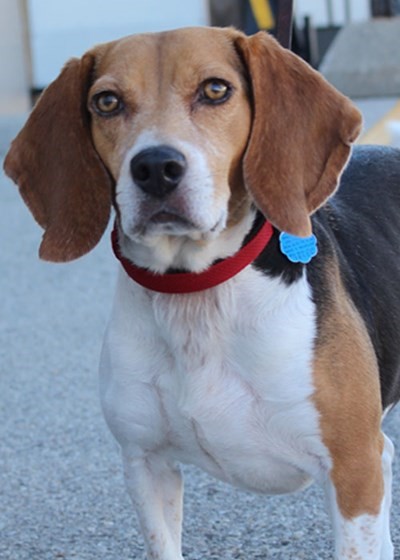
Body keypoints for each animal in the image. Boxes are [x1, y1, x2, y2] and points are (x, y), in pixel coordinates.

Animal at [3, 27, 400, 560]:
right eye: (106, 102)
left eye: (215, 90)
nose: (155, 166)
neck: (196, 292)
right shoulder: (146, 465)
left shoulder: (354, 468)